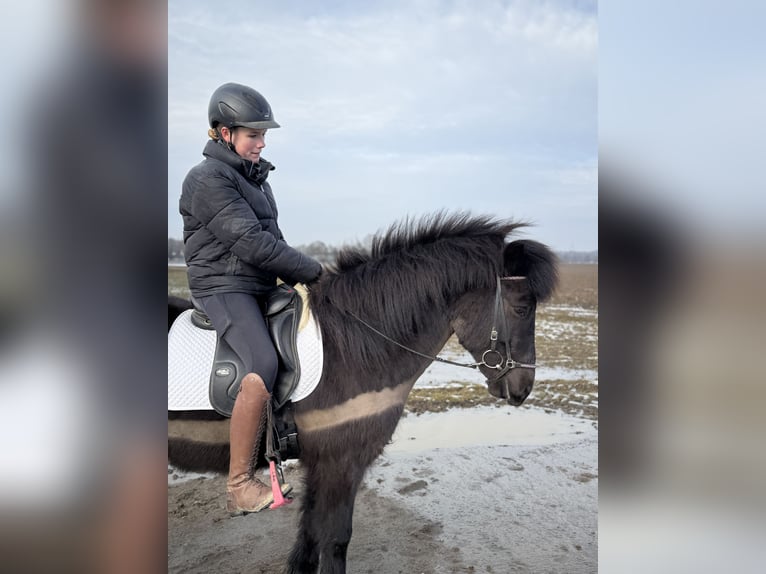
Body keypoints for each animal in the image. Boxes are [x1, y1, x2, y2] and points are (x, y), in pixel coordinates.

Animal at [168, 212, 558, 574]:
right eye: (522, 308)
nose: (523, 388)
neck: (353, 345)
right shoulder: (343, 462)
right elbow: (336, 538)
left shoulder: (321, 463)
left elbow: (310, 535)